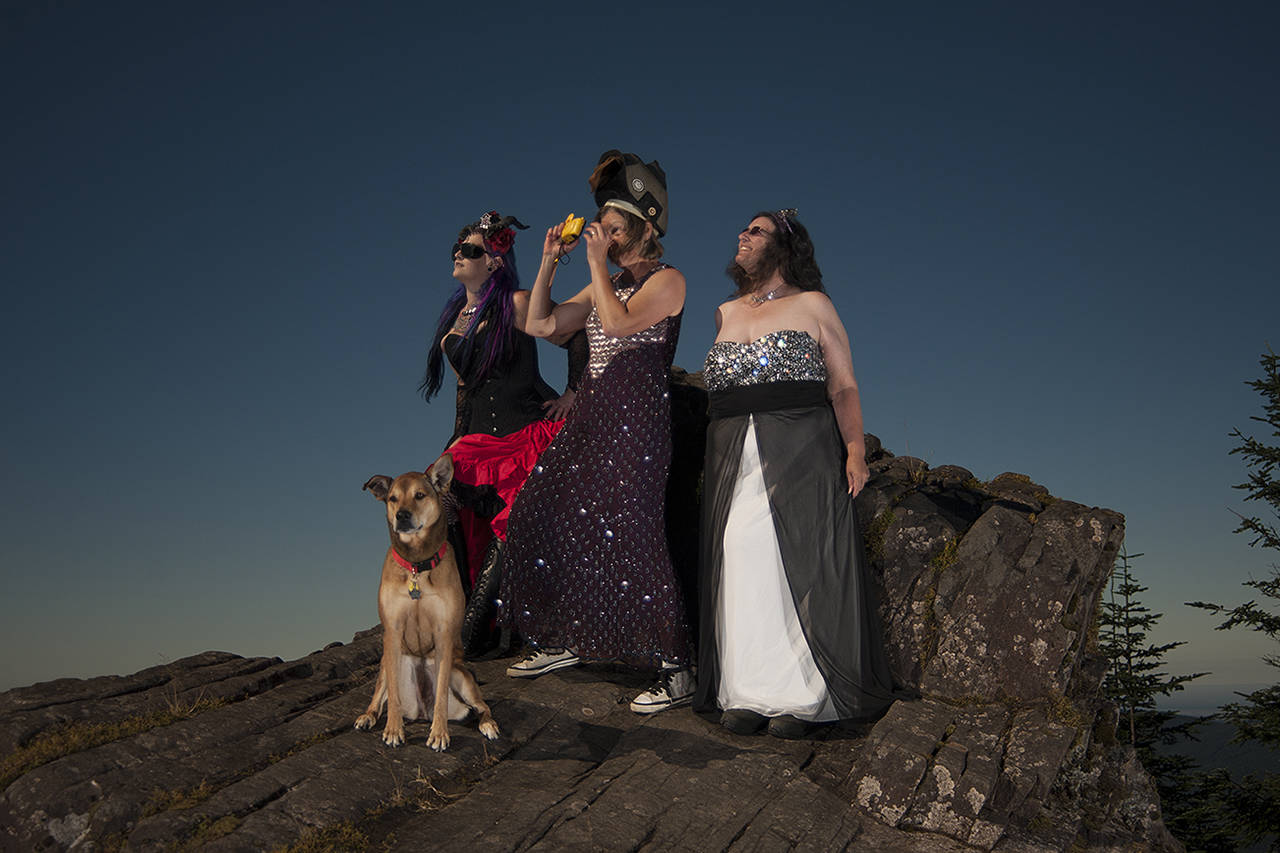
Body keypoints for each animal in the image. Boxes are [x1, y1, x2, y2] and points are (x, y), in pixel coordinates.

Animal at [358, 455, 501, 747]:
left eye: (420, 495)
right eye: (393, 498)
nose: (402, 516)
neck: (417, 565)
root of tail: (420, 713)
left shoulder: (444, 632)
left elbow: (442, 697)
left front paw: (439, 733)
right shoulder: (392, 631)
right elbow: (392, 699)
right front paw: (393, 730)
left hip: (462, 677)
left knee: (482, 706)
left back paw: (487, 724)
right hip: (389, 663)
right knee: (380, 695)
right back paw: (368, 716)